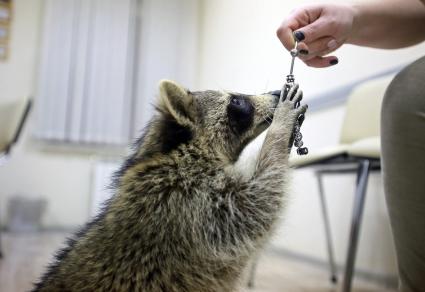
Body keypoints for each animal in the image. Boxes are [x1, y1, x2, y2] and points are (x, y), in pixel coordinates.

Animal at [32, 80, 304, 292]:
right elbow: (258, 204)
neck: (173, 152)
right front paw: (281, 127)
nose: (277, 93)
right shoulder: (187, 200)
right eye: (236, 101)